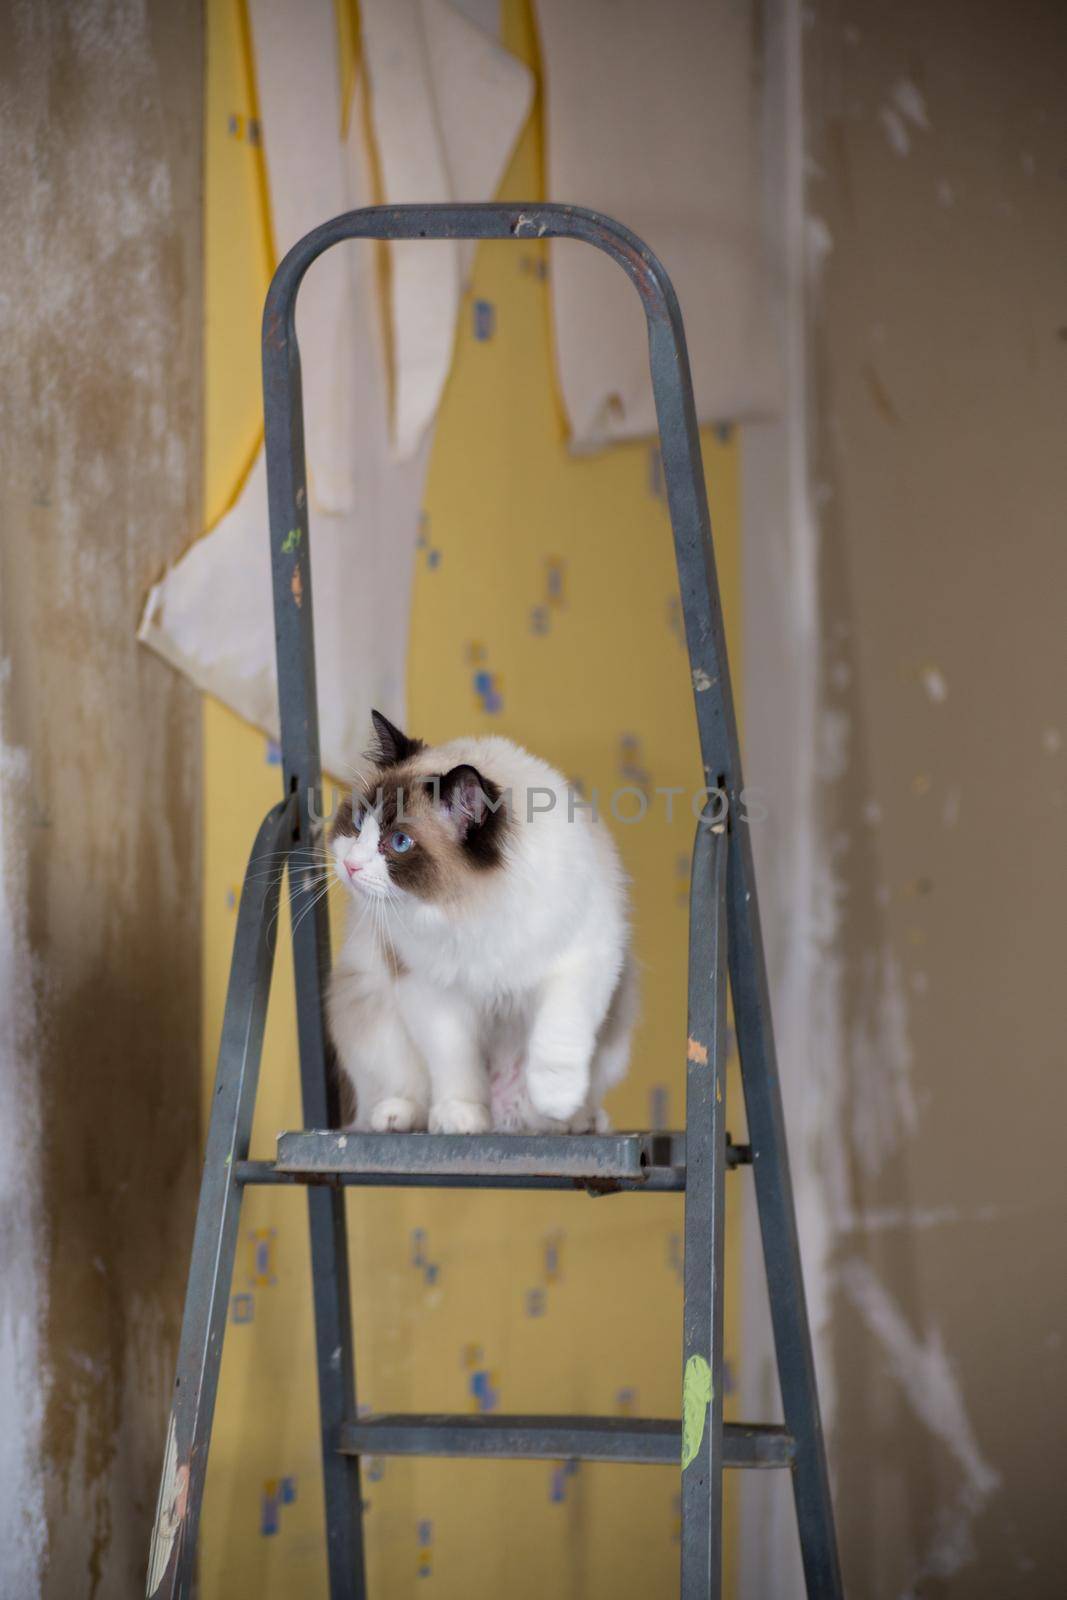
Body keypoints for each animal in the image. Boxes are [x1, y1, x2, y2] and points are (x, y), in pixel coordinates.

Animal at [326, 713, 639, 1139]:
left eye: (399, 842)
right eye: (358, 824)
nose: (351, 865)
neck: (466, 910)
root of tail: (506, 1122)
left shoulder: (583, 958)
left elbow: (558, 1036)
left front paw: (556, 1098)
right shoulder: (431, 989)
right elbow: (455, 1063)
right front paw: (460, 1116)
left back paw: (572, 1120)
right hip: (369, 1002)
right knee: (401, 1090)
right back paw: (398, 1116)